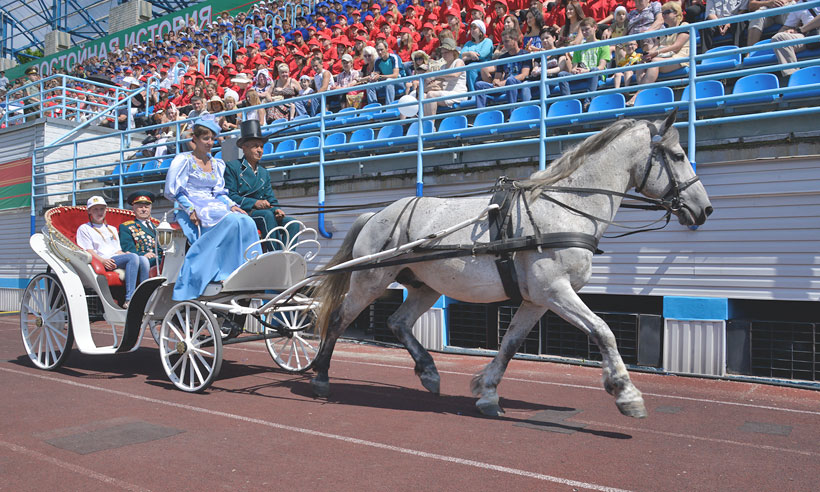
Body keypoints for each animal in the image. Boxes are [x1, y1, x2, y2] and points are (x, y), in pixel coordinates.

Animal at [309, 111, 713, 418]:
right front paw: (626, 393)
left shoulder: (537, 299)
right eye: (678, 155)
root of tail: (377, 213)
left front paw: (487, 392)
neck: (566, 208)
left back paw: (428, 372)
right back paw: (320, 377)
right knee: (340, 319)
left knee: (398, 322)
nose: (705, 208)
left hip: (426, 287)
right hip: (370, 280)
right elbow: (603, 331)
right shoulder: (556, 291)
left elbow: (510, 343)